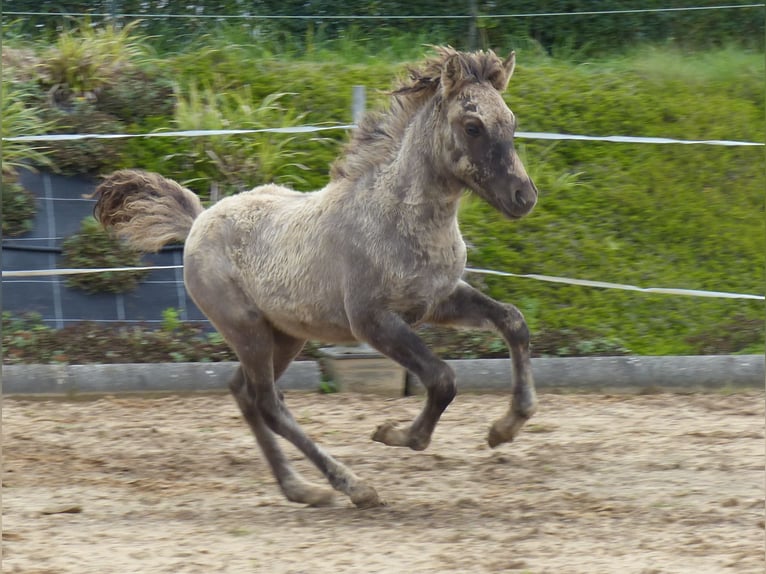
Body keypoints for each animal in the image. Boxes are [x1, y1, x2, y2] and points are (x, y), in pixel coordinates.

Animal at [94, 48, 540, 508]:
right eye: (472, 126)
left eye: (511, 121)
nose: (524, 197)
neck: (397, 215)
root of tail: (199, 220)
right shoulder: (372, 321)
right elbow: (442, 379)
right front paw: (394, 434)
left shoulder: (439, 299)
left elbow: (513, 320)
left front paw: (506, 427)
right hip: (248, 330)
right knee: (267, 402)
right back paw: (352, 485)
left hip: (285, 335)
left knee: (244, 392)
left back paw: (300, 488)